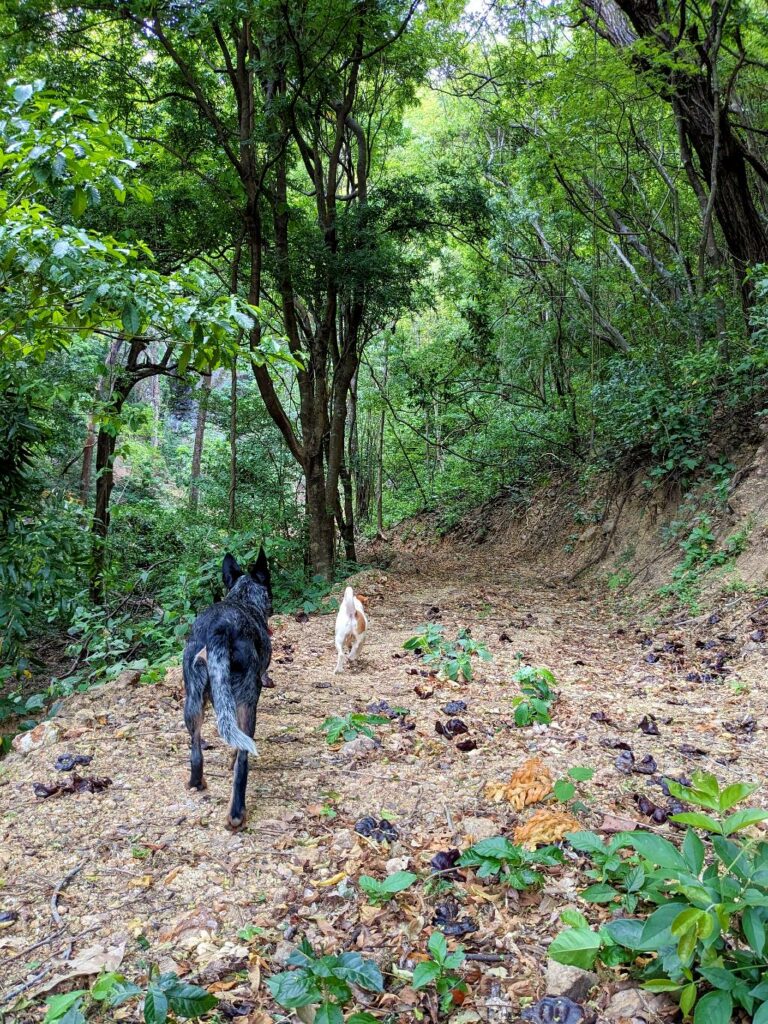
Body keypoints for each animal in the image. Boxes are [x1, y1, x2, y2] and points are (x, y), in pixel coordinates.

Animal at [182, 548, 272, 827]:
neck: (243, 598)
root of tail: (219, 629)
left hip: (192, 700)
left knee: (195, 748)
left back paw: (196, 782)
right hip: (246, 702)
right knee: (242, 756)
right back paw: (236, 814)